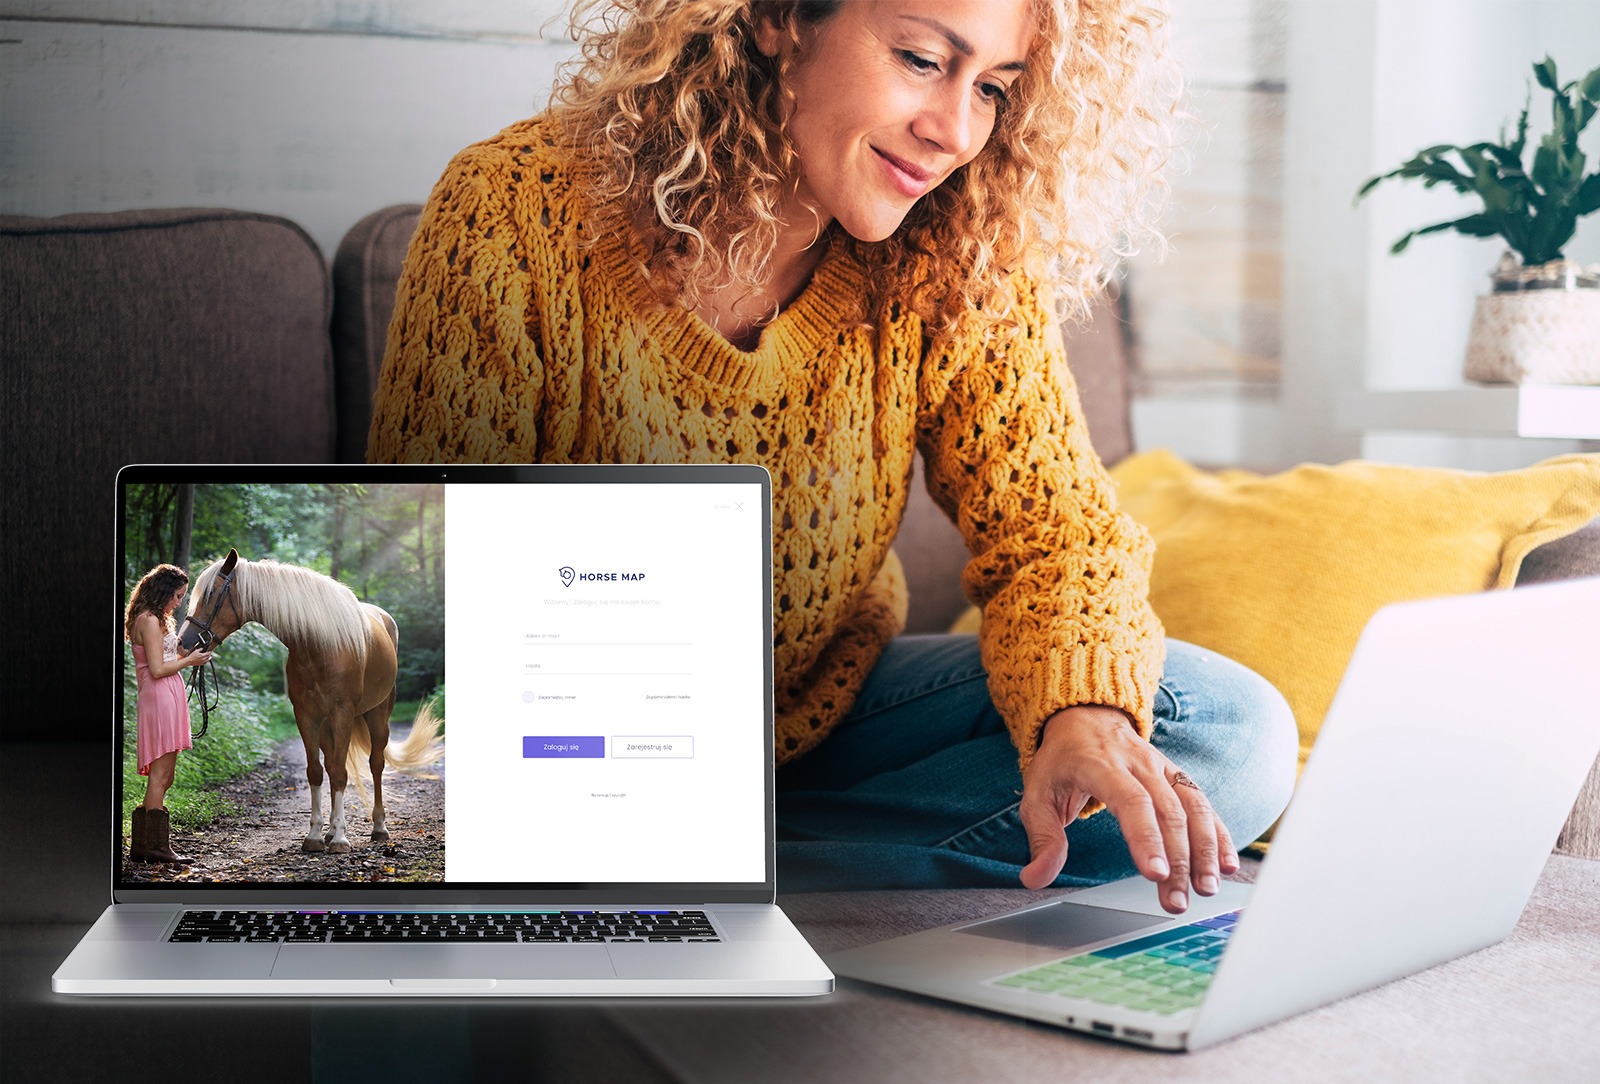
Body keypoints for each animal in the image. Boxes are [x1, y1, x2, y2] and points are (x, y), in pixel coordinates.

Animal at [178, 549, 443, 854]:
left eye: (212, 594)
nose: (184, 643)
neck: (319, 646)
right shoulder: (306, 716)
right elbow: (316, 772)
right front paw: (316, 835)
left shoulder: (342, 714)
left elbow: (341, 774)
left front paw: (340, 840)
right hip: (328, 725)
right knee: (331, 764)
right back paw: (330, 831)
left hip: (378, 716)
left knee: (376, 764)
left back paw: (378, 827)